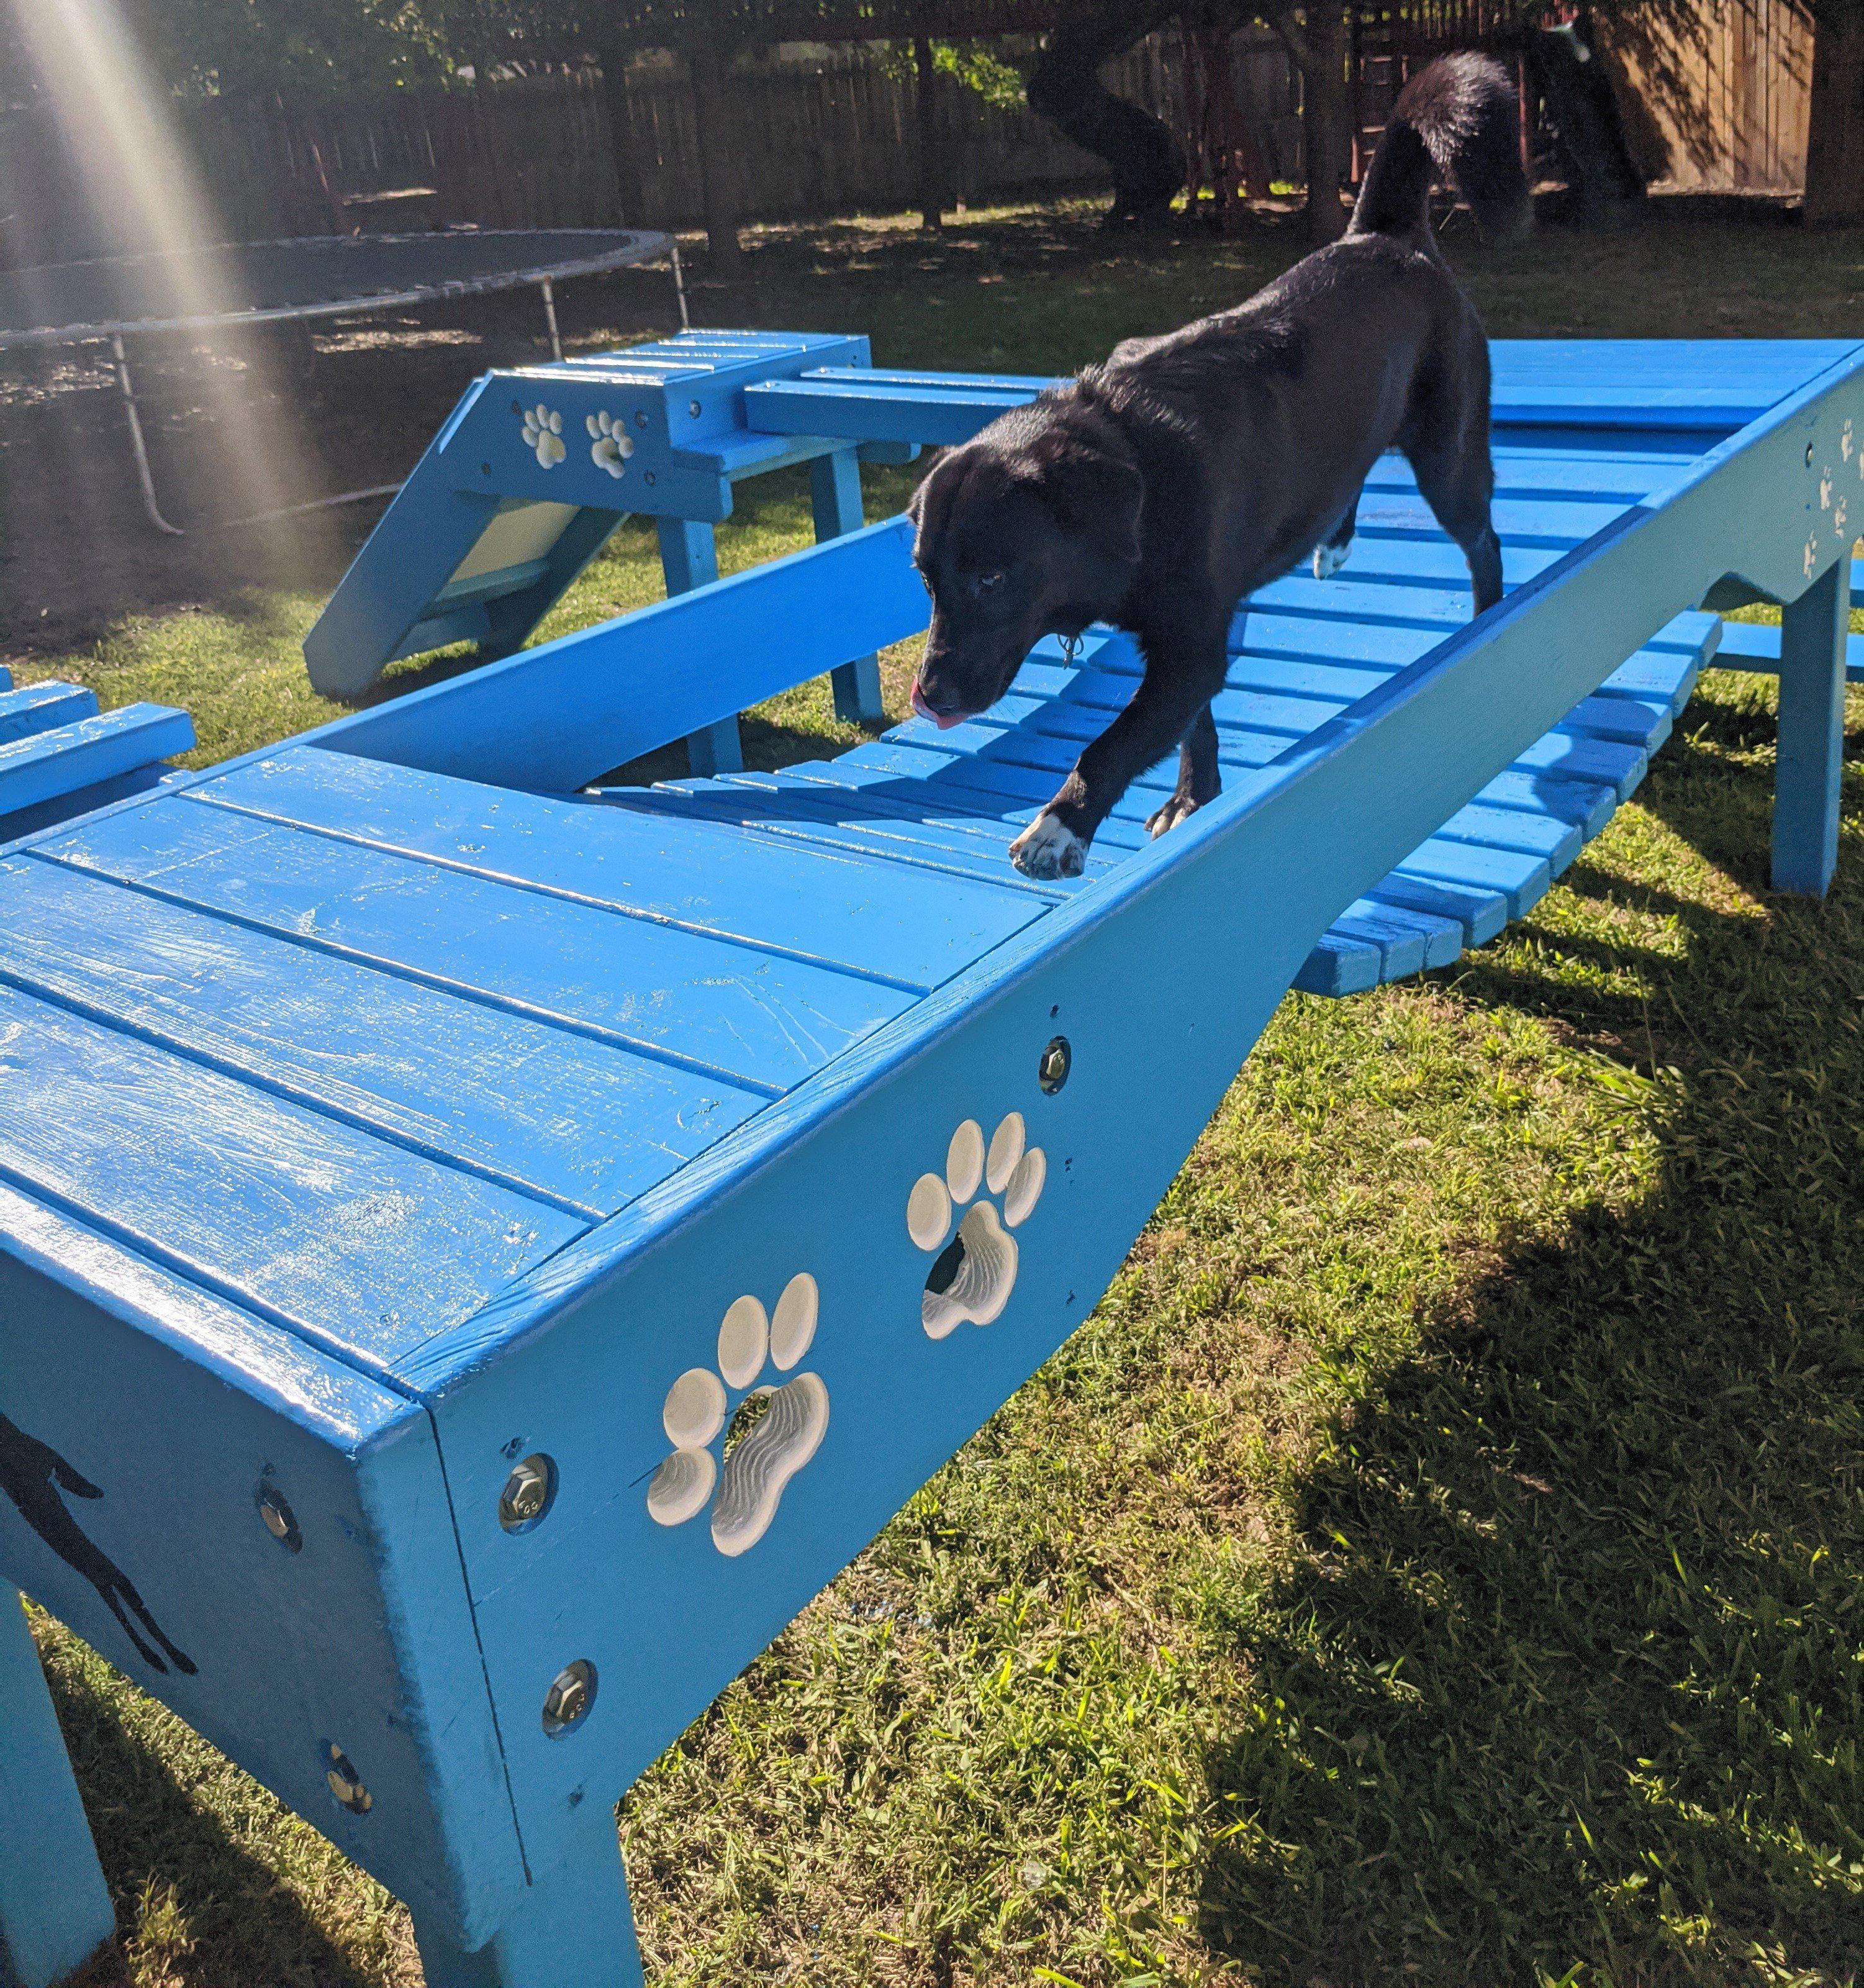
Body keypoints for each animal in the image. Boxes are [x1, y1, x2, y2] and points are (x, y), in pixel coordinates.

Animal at [902, 56, 1526, 878]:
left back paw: (1487, 615)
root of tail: (1383, 235)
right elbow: (1190, 727)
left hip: (1446, 455)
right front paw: (1192, 798)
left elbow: (1114, 743)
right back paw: (1333, 542)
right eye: (925, 581)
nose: (931, 697)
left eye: (991, 580)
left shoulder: (1191, 645)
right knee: (1352, 477)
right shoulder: (1187, 649)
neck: (1138, 473)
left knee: (1482, 538)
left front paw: (1060, 825)